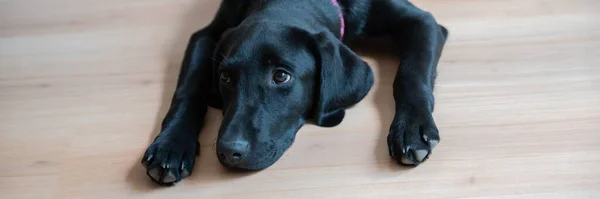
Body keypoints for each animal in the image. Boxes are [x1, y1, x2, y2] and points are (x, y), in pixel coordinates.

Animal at [142, 0, 446, 185]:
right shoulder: (206, 35)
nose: (229, 151)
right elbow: (188, 89)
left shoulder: (424, 22)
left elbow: (410, 73)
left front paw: (412, 128)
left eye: (281, 76)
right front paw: (170, 145)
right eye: (225, 77)